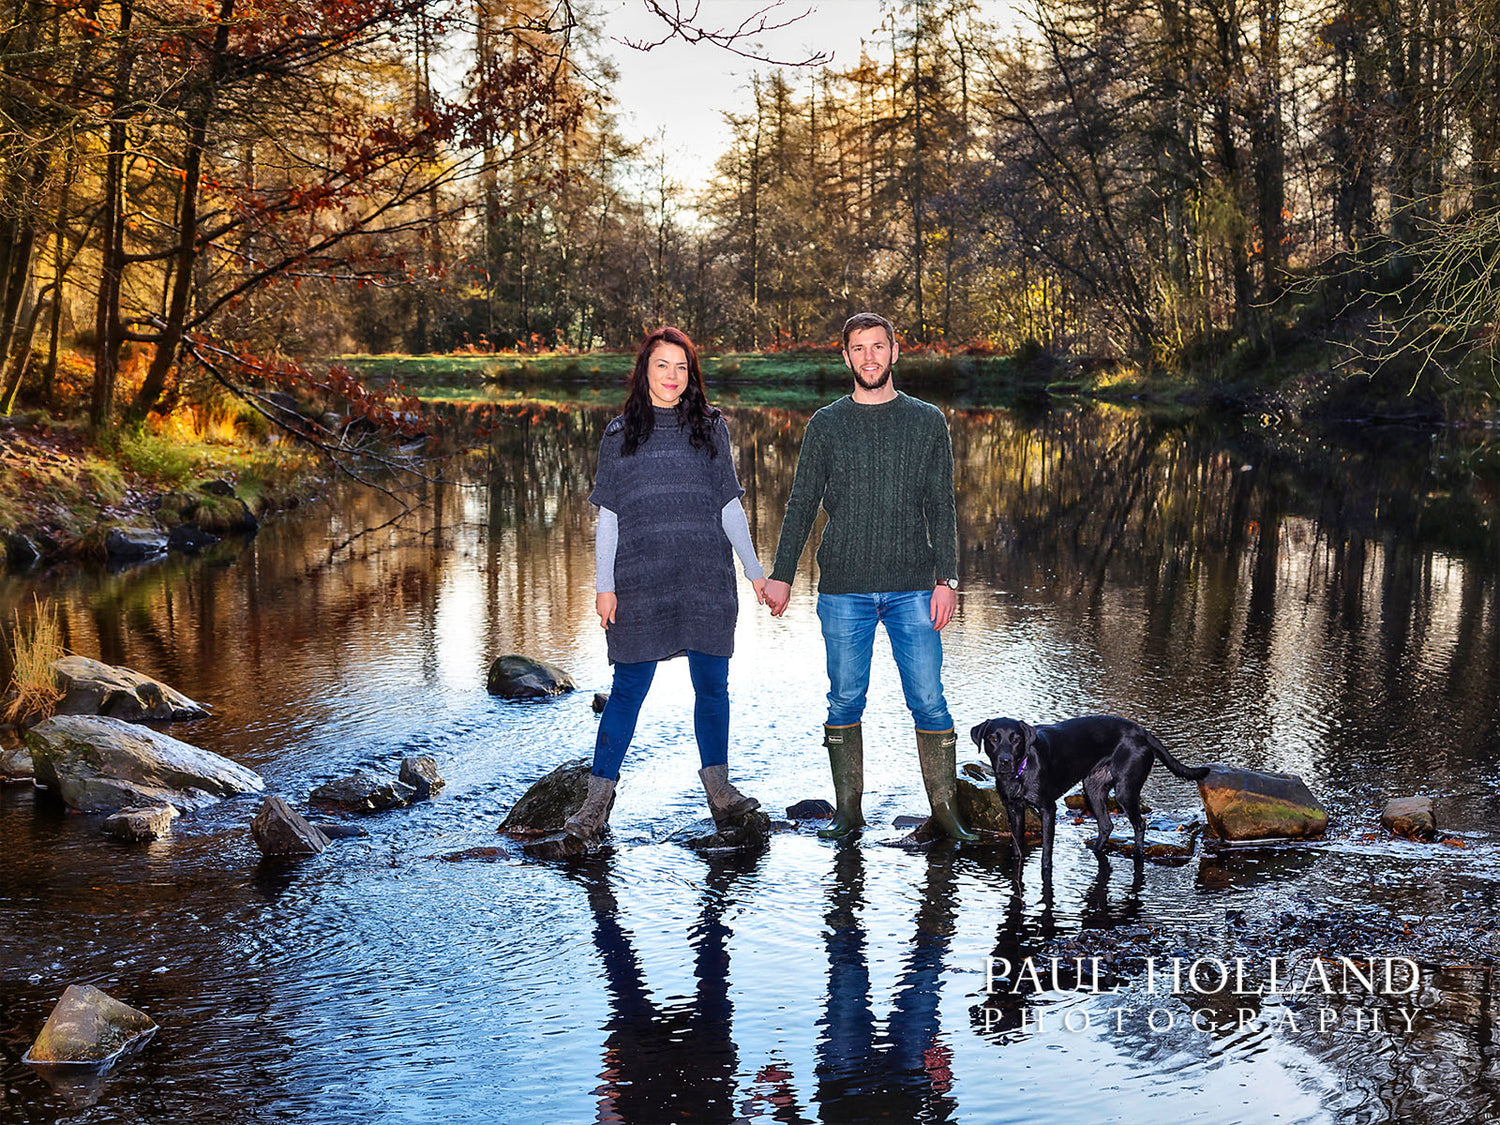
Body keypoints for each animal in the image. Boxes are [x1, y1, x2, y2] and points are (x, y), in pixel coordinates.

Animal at [972, 717, 1206, 888]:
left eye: (1016, 739)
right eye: (993, 738)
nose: (1005, 761)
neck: (1020, 772)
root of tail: (1142, 732)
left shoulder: (1048, 809)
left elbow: (1046, 852)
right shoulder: (1013, 809)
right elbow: (1016, 846)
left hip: (1125, 791)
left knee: (1139, 824)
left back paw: (1137, 854)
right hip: (1092, 788)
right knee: (1106, 825)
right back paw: (1096, 850)